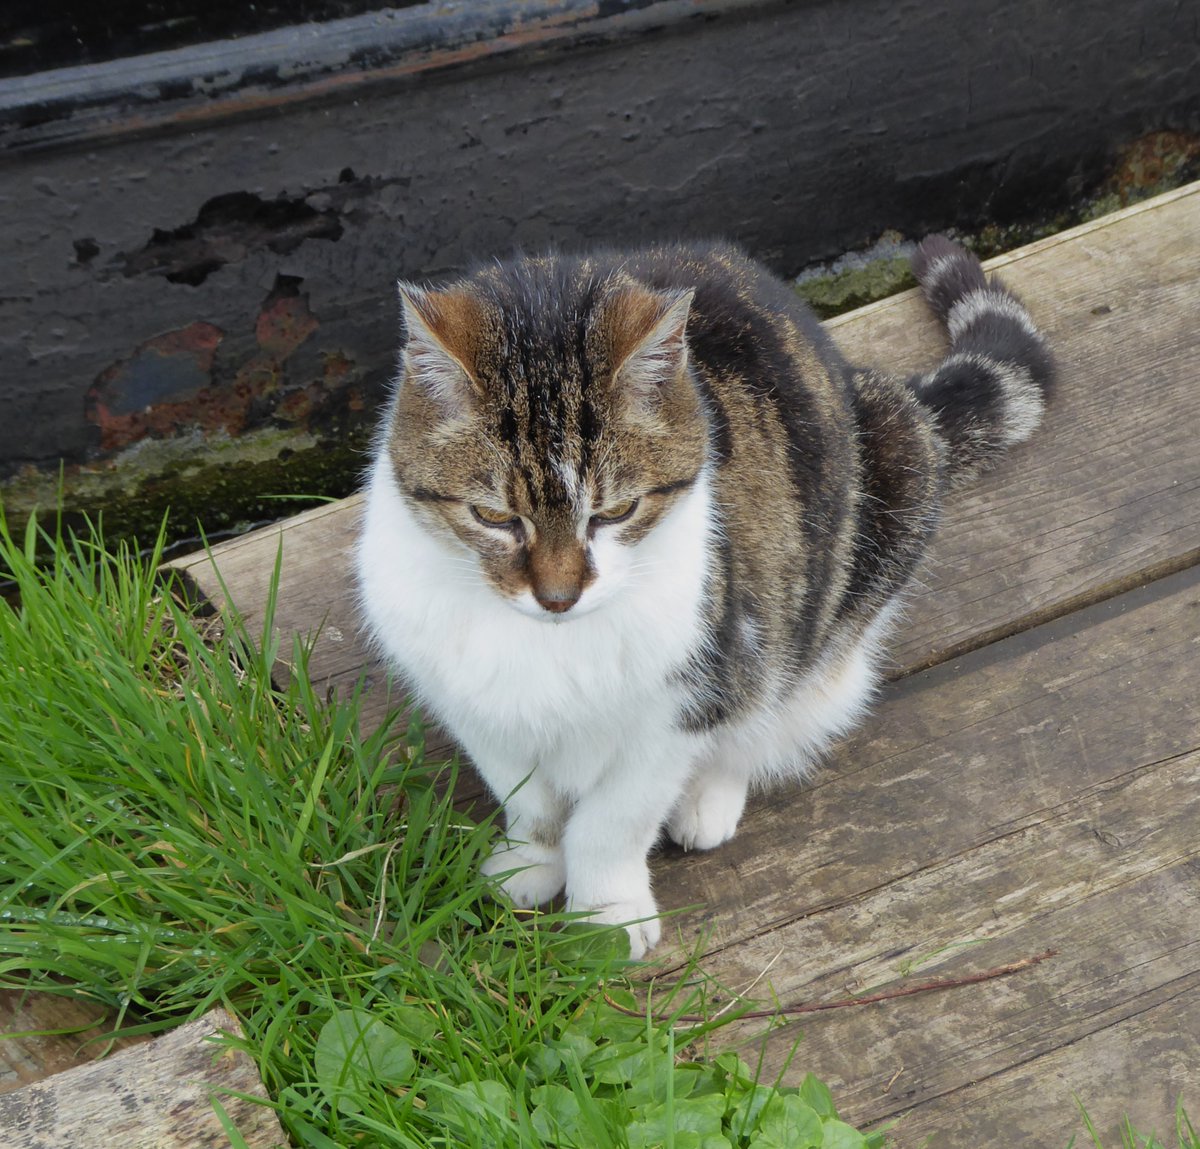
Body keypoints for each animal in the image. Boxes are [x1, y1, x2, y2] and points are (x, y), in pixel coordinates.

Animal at [355, 238, 1051, 959]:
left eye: (616, 512)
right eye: (493, 517)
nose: (558, 596)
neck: (552, 646)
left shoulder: (684, 701)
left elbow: (612, 819)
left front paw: (607, 913)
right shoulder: (467, 700)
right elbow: (531, 800)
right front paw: (531, 863)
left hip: (880, 494)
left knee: (774, 707)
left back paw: (708, 795)